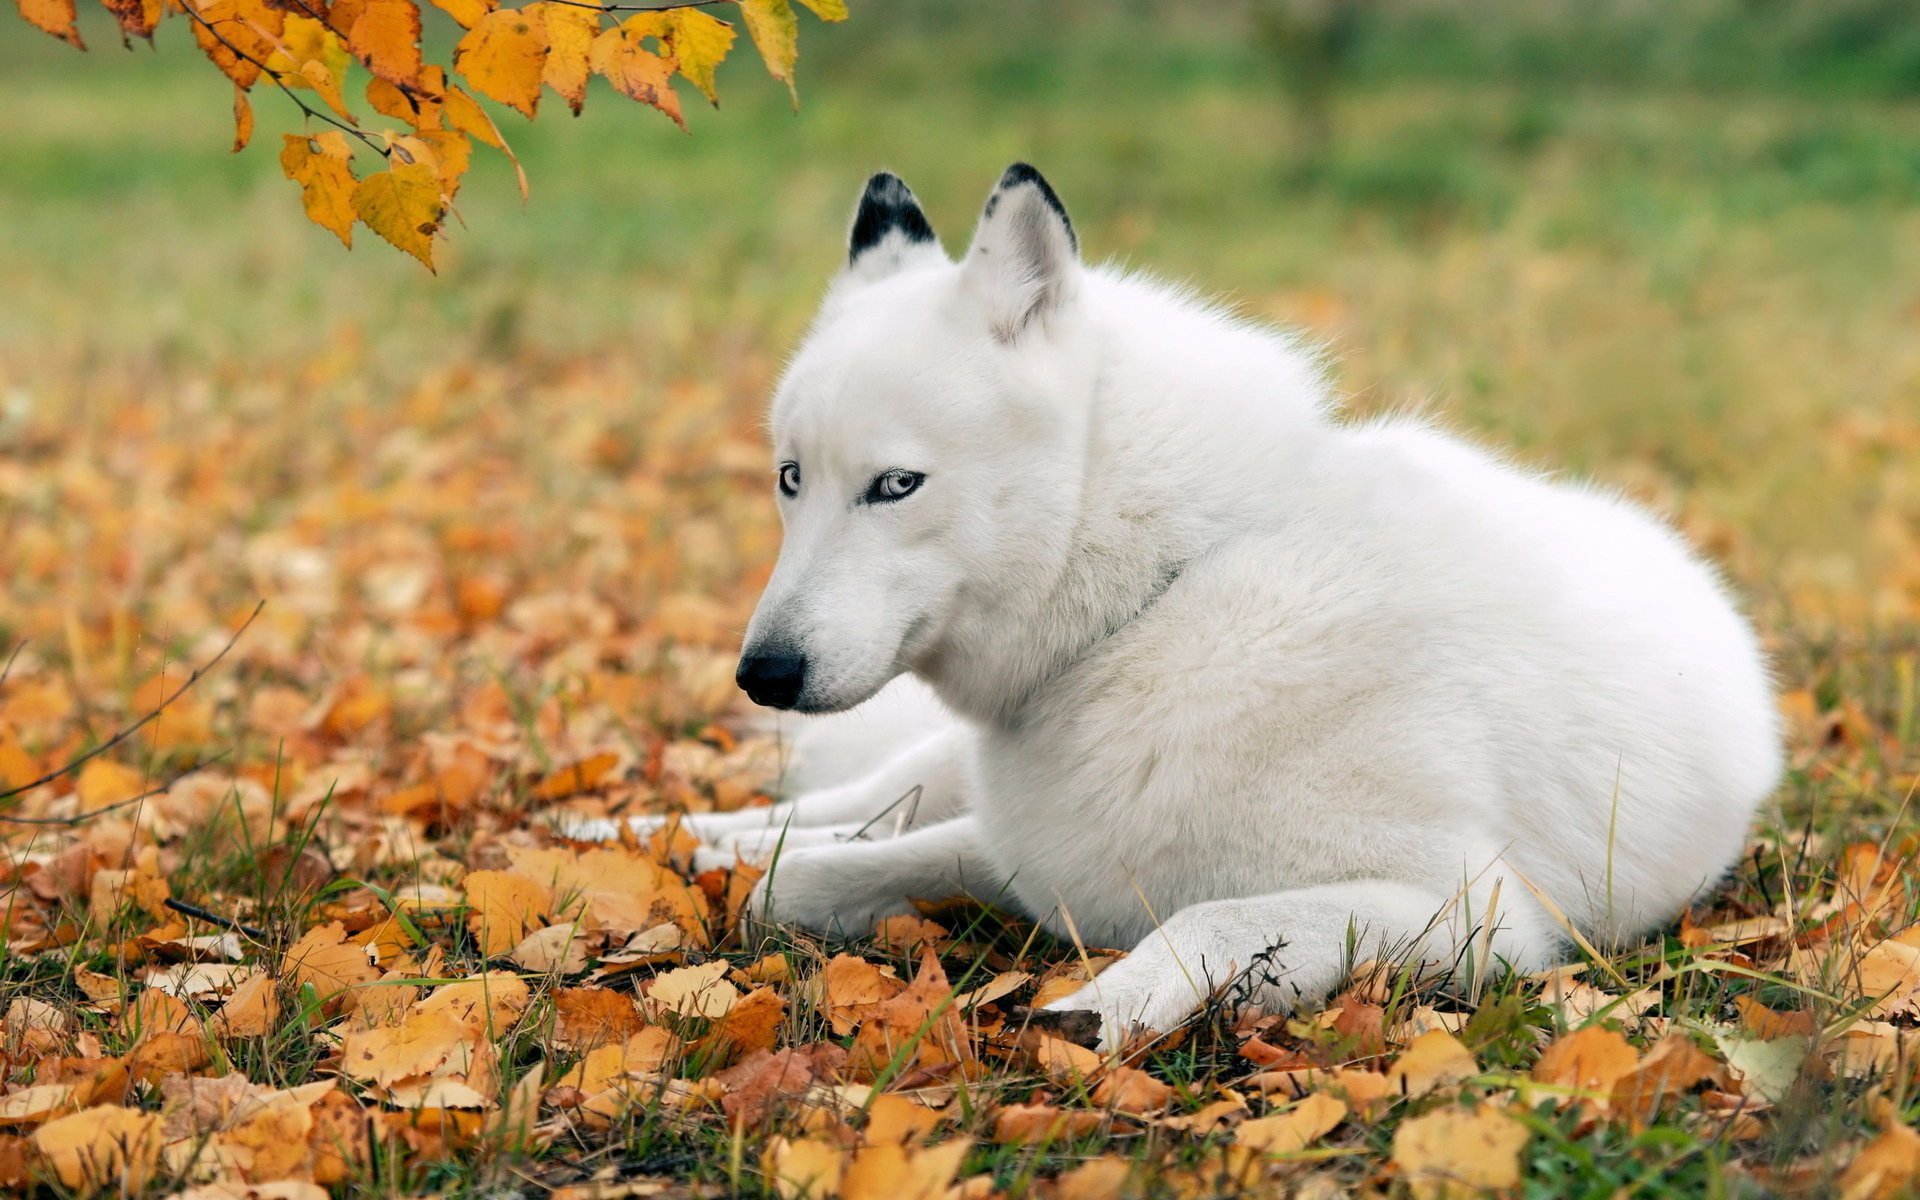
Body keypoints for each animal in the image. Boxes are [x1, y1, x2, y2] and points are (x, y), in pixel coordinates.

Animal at [606, 164, 1774, 1044]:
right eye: (790, 480)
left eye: (896, 485)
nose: (762, 675)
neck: (1165, 597)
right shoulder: (1026, 849)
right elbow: (796, 883)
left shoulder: (1465, 914)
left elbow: (1207, 921)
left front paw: (1092, 1012)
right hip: (927, 770)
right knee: (829, 808)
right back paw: (657, 836)